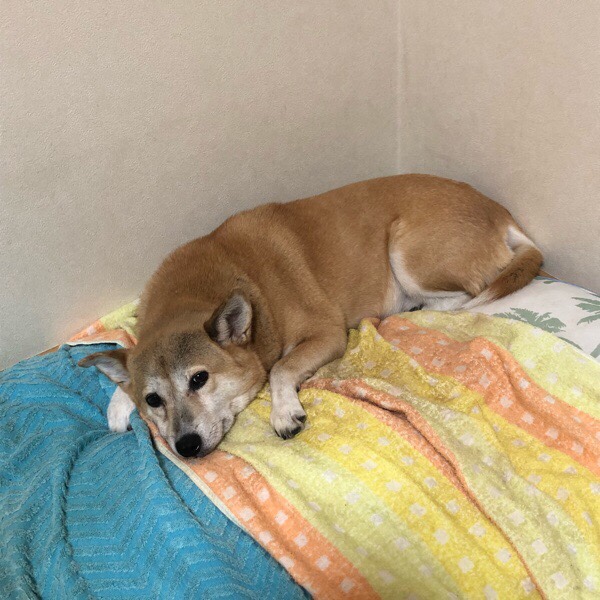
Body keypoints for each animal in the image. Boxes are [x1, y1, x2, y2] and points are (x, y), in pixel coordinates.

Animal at [80, 175, 543, 458]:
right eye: (153, 400)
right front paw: (119, 404)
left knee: (469, 292)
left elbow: (280, 368)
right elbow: (126, 362)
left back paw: (411, 309)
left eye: (199, 379)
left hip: (408, 253)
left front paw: (284, 412)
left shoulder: (326, 334)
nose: (186, 447)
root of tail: (499, 211)